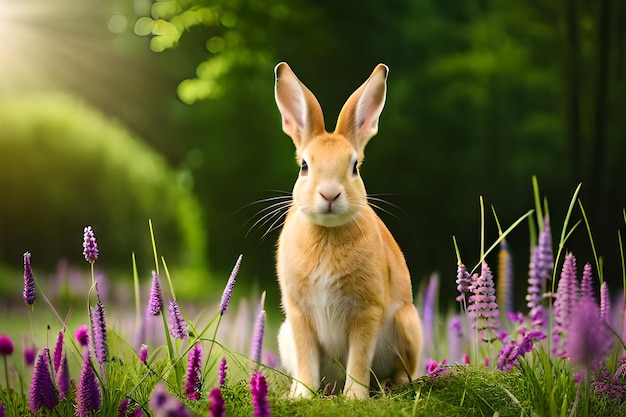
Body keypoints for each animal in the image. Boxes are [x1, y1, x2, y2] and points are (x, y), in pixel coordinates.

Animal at [272, 61, 422, 396]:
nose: (329, 194)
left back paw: (392, 384)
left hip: (407, 324)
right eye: (304, 166)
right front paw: (302, 395)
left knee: (403, 369)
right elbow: (306, 358)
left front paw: (354, 397)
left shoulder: (367, 311)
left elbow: (359, 358)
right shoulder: (298, 314)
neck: (327, 232)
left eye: (354, 167)